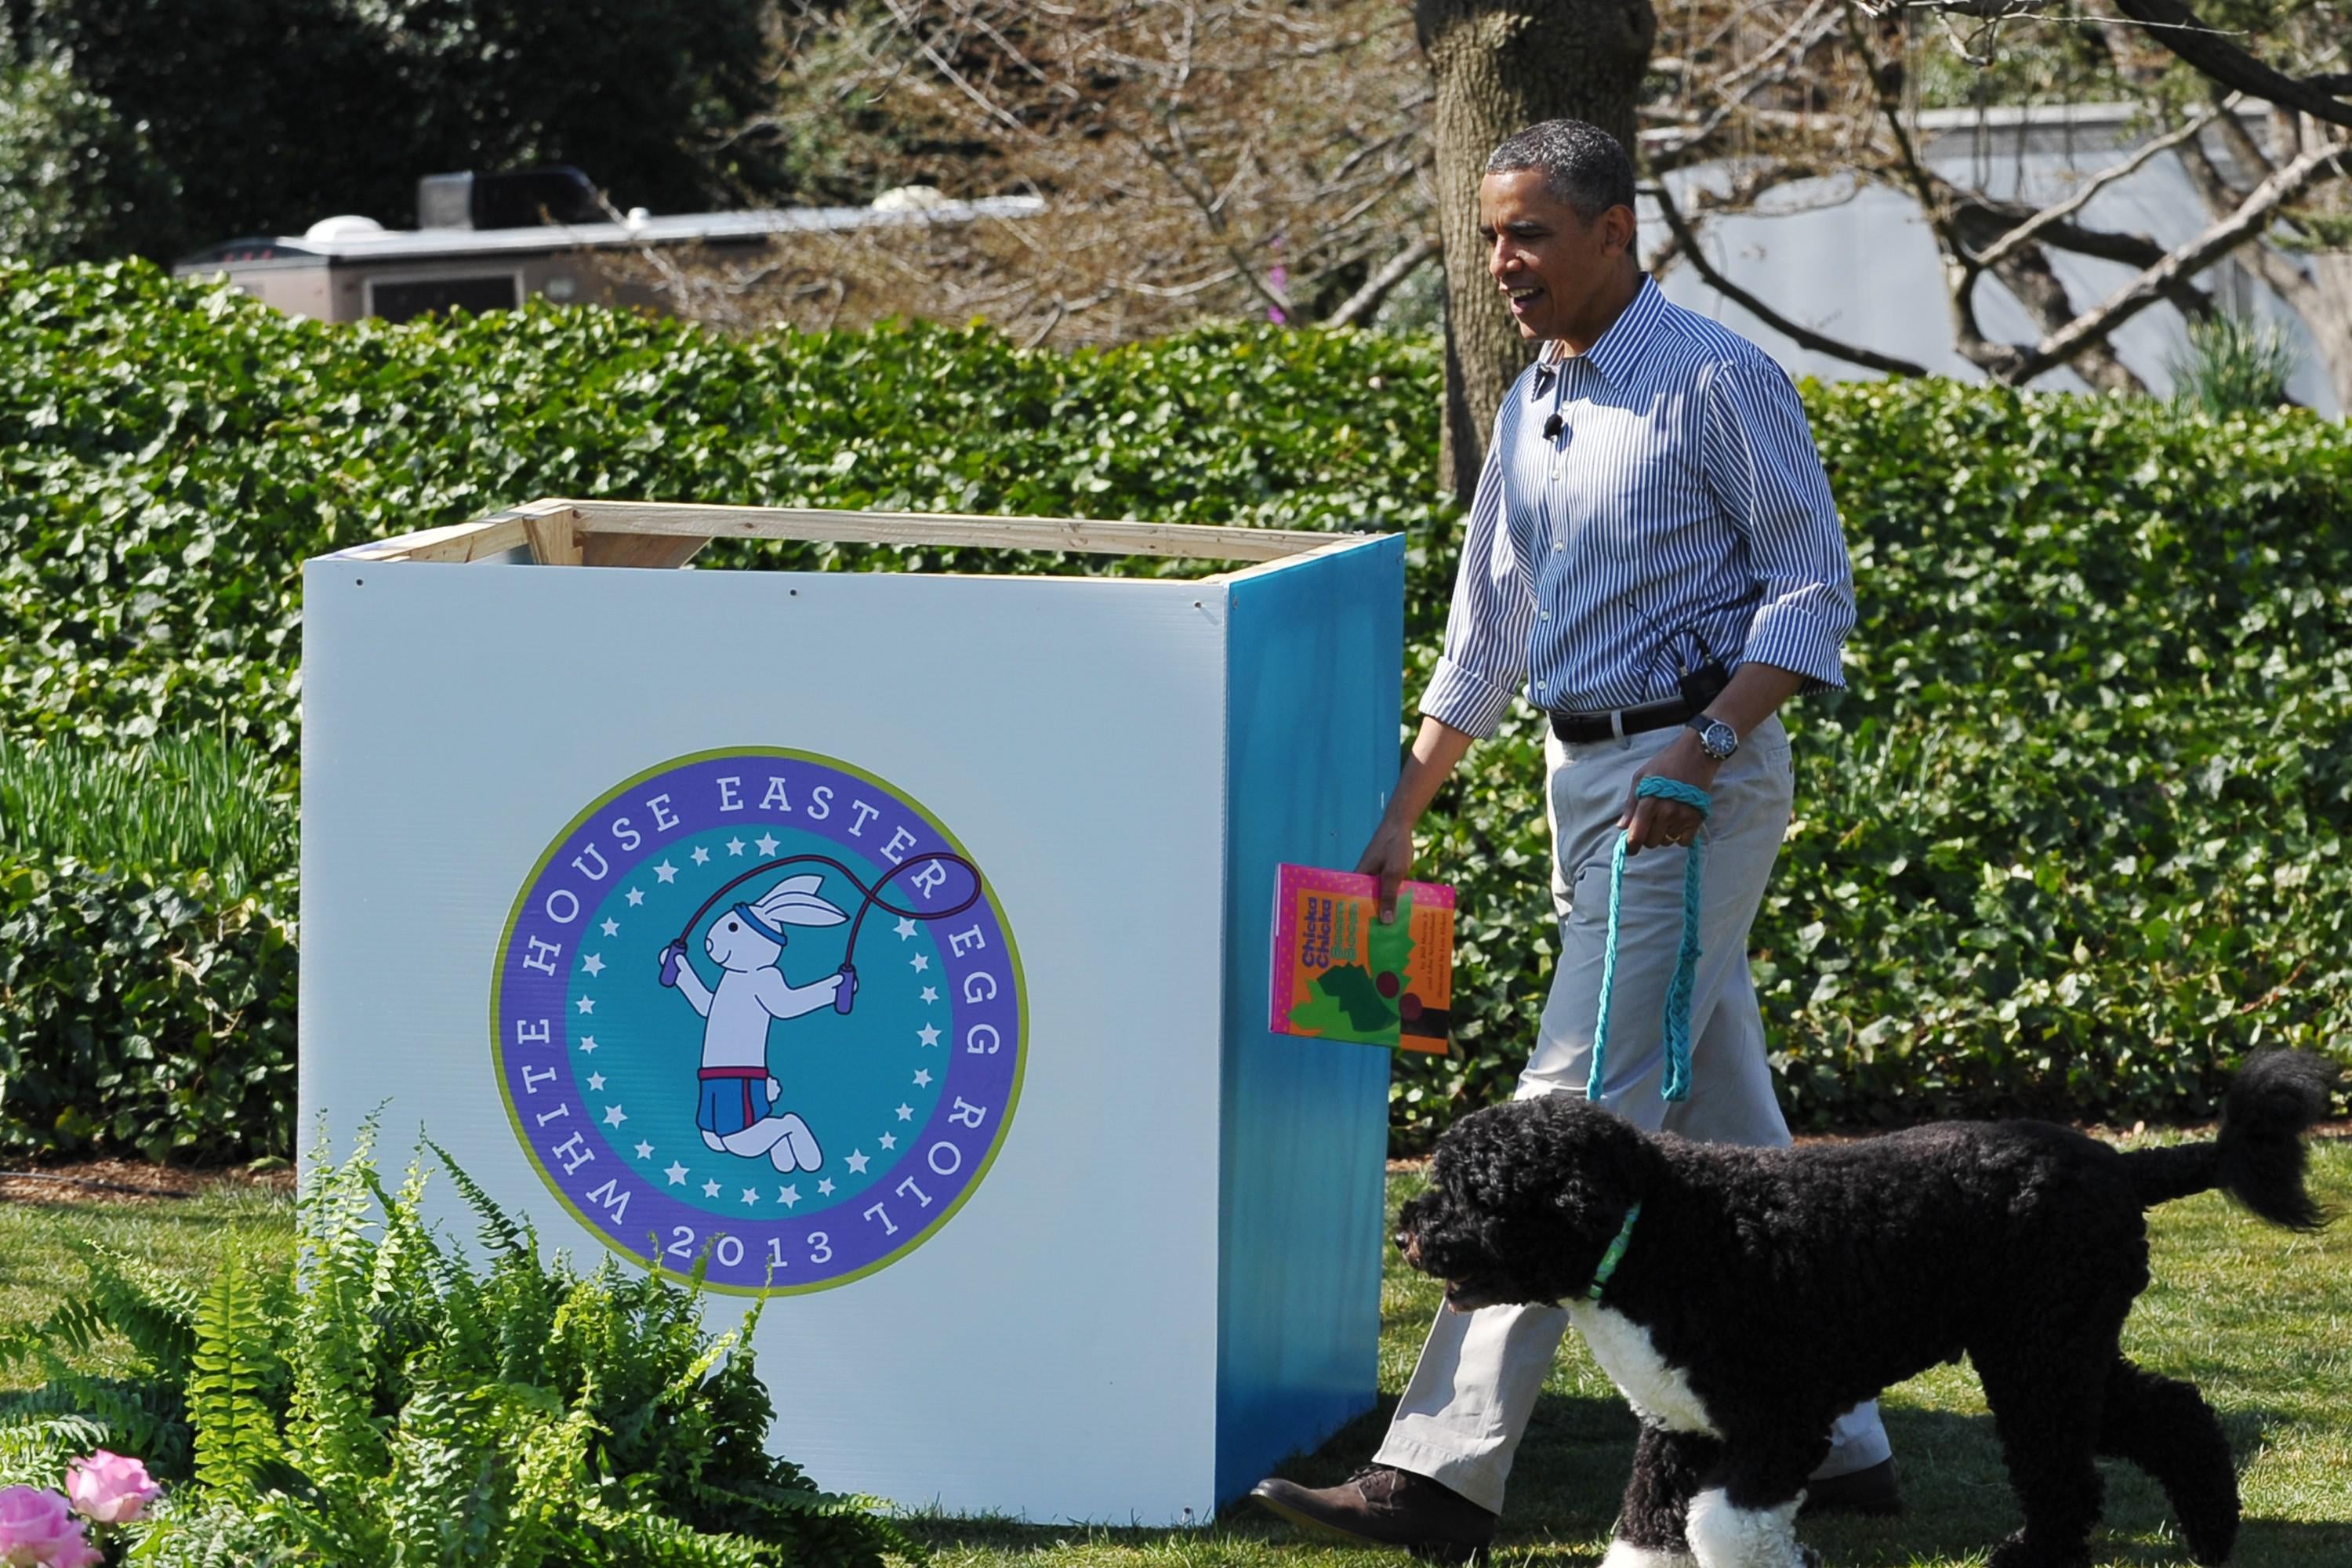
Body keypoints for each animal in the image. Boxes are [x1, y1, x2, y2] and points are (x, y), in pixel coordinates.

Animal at [1392, 1053, 2333, 1568]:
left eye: (1478, 1192)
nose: (1407, 1231)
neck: (1663, 1229)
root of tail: (2121, 1164)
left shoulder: (1778, 1424)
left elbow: (1726, 1529)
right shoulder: (1680, 1424)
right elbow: (1648, 1525)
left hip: (2039, 1361)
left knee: (2070, 1475)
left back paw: (2037, 1554)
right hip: (2059, 1352)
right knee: (2173, 1412)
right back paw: (2211, 1531)